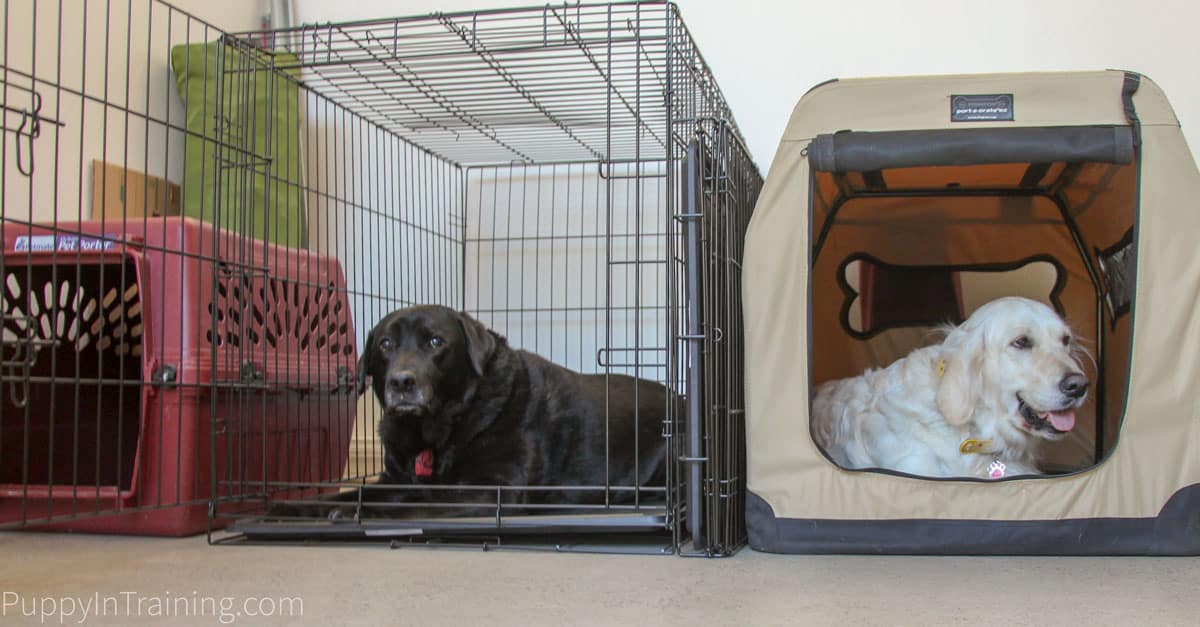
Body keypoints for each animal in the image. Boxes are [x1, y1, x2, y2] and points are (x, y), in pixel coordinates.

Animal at [290, 303, 667, 516]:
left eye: (435, 342)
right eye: (385, 344)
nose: (401, 382)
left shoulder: (492, 489)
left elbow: (416, 502)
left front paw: (351, 513)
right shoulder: (392, 480)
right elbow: (352, 493)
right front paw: (299, 505)